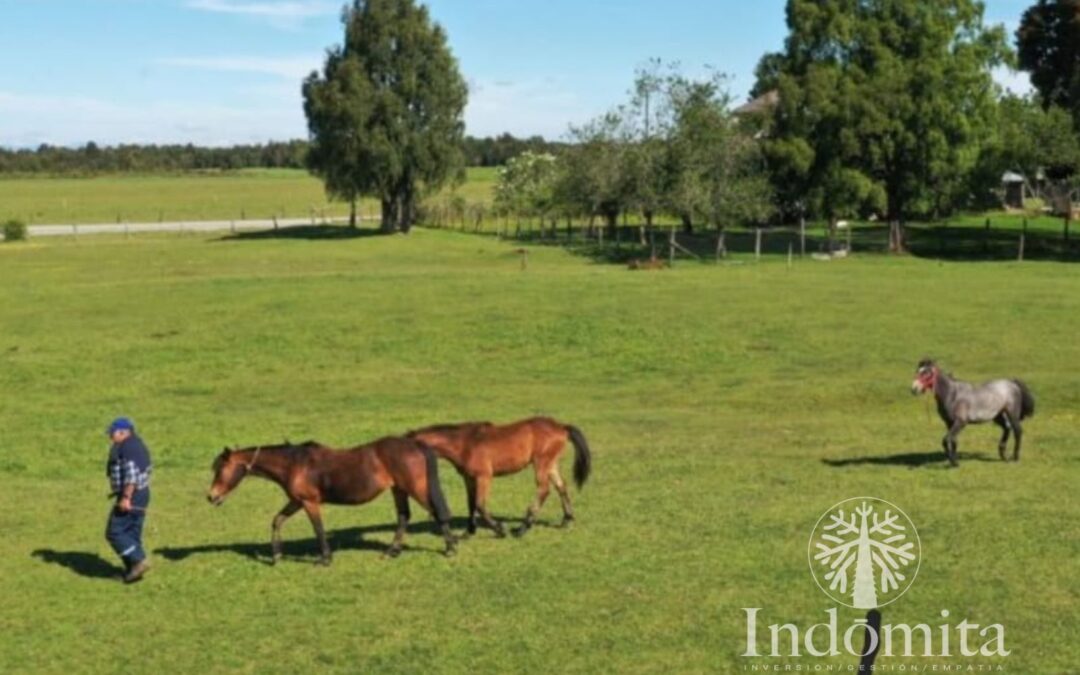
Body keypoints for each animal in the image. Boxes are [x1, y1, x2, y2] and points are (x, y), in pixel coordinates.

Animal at [406, 416, 591, 537]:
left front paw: (500, 529)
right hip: (551, 464)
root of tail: (562, 427)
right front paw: (469, 531)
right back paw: (567, 520)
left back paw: (522, 528)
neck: (465, 444)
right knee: (561, 487)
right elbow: (471, 503)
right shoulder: (469, 478)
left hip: (541, 463)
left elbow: (480, 505)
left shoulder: (484, 477)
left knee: (544, 490)